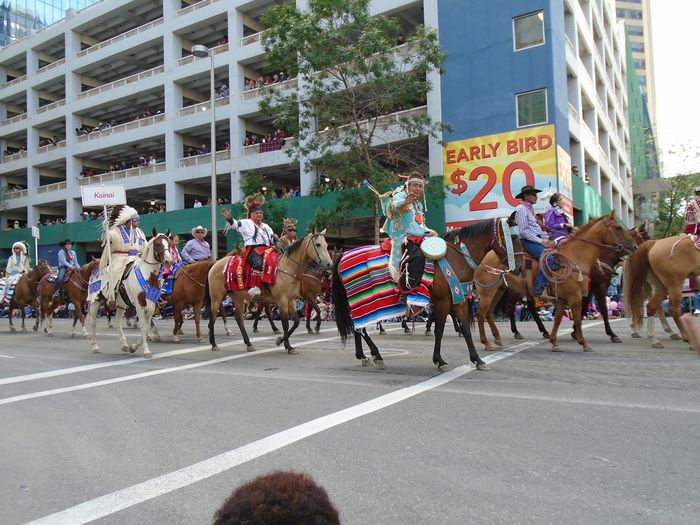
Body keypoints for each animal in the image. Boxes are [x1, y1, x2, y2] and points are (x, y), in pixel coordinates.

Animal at [86, 228, 174, 356]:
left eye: (169, 244)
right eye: (157, 244)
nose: (169, 261)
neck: (147, 274)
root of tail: (96, 271)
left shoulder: (151, 305)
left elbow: (147, 327)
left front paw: (133, 347)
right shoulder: (139, 304)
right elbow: (143, 327)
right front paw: (146, 350)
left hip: (121, 304)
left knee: (117, 322)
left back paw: (124, 345)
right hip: (95, 302)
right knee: (93, 323)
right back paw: (95, 347)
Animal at [532, 213, 636, 352]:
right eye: (618, 227)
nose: (634, 247)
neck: (575, 257)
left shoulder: (565, 298)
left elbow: (559, 319)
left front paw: (555, 342)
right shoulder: (580, 294)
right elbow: (582, 316)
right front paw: (584, 342)